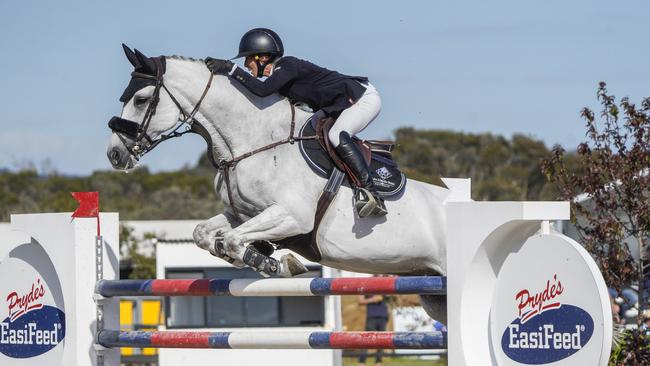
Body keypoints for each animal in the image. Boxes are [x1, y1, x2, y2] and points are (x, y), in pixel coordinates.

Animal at [106, 46, 450, 324]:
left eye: (141, 99)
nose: (115, 154)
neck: (255, 141)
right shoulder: (242, 213)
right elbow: (205, 235)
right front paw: (264, 256)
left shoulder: (292, 217)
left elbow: (232, 241)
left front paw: (274, 264)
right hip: (434, 293)